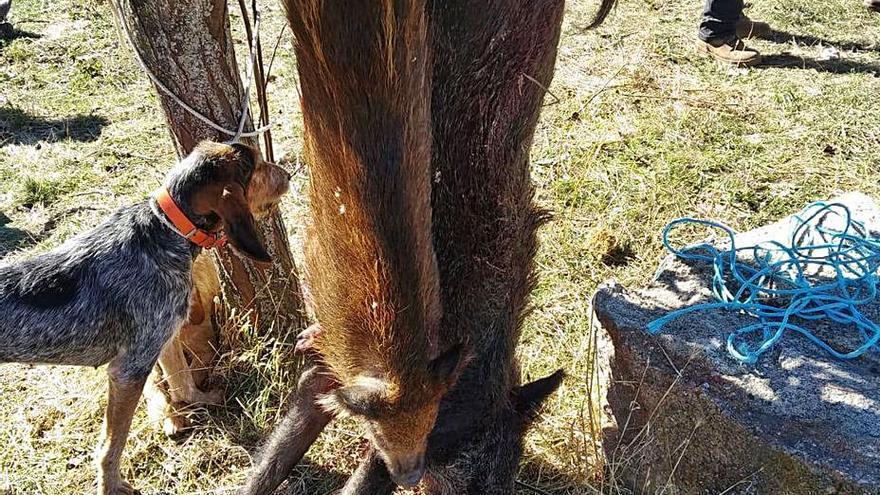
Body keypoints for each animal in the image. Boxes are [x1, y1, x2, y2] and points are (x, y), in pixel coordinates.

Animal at [0, 140, 290, 495]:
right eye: (258, 166)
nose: (288, 174)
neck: (166, 228)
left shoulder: (164, 339)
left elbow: (182, 383)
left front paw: (201, 399)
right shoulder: (129, 369)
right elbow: (112, 445)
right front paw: (110, 485)